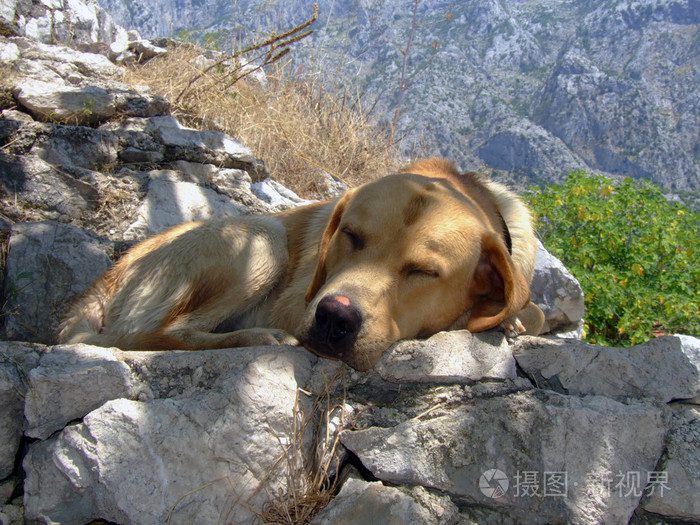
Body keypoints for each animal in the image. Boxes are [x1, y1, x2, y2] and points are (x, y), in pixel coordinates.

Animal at [57, 158, 544, 370]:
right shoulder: (297, 301)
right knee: (151, 335)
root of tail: (108, 276)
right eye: (351, 236)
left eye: (424, 272)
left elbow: (531, 310)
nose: (334, 319)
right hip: (264, 237)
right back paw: (258, 337)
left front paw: (511, 317)